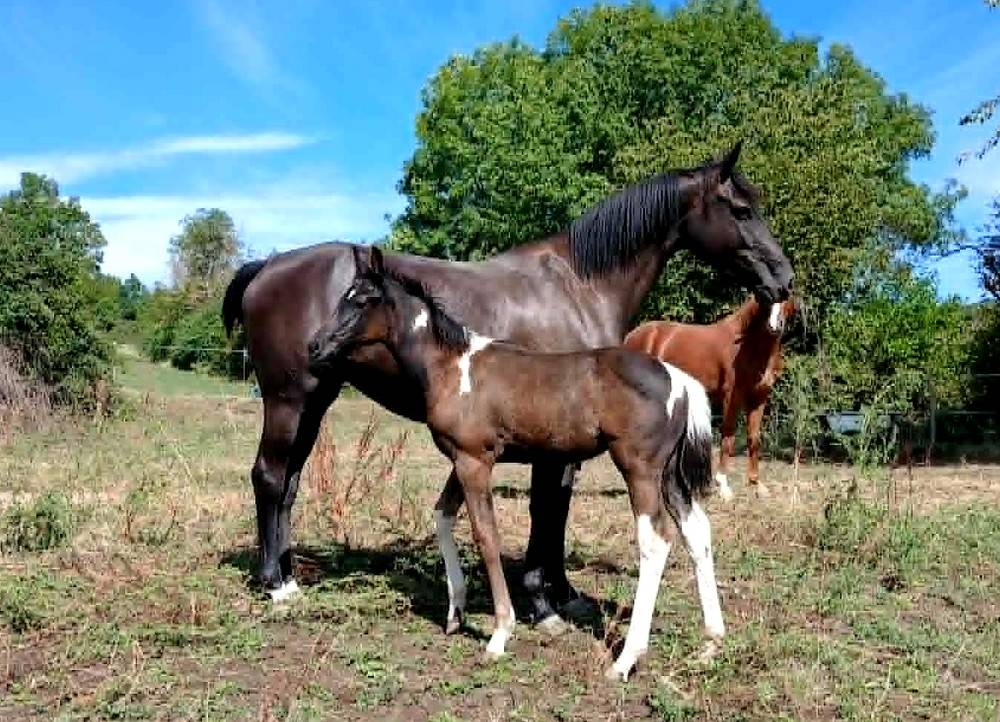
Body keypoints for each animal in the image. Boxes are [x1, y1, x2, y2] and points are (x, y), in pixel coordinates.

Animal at [307, 245, 723, 681]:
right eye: (343, 296)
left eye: (363, 300)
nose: (315, 346)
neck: (452, 365)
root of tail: (679, 379)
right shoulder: (461, 458)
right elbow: (442, 516)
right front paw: (455, 613)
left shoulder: (475, 460)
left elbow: (486, 536)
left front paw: (499, 634)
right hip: (671, 475)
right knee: (697, 532)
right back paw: (710, 644)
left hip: (640, 470)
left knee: (655, 540)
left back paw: (625, 660)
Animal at [624, 295, 796, 496]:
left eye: (788, 294)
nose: (775, 325)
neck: (748, 344)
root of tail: (632, 335)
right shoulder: (732, 397)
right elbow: (728, 436)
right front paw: (724, 486)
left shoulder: (759, 397)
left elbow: (754, 438)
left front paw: (757, 484)